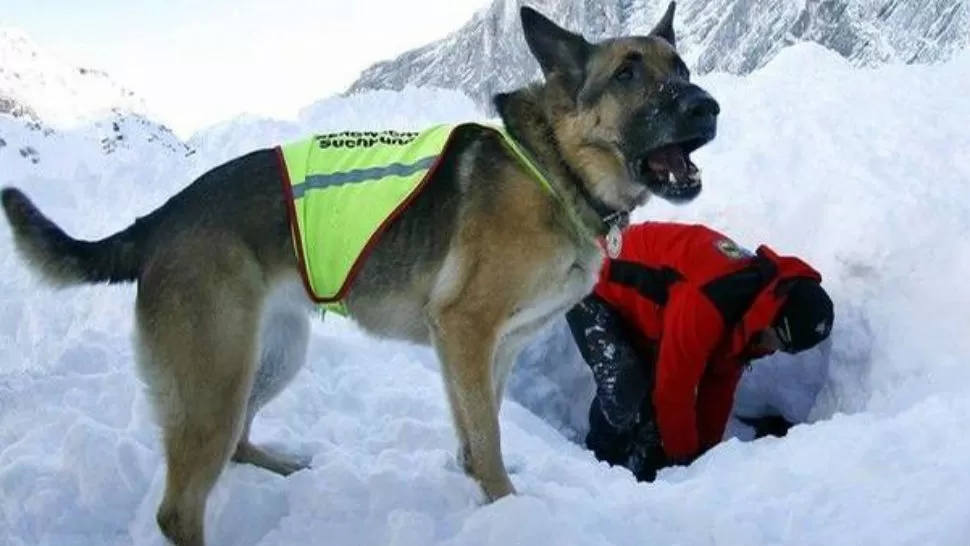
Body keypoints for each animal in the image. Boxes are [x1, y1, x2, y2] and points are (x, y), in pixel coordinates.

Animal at [0, 2, 712, 540]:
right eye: (627, 73)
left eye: (680, 67)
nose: (708, 106)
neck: (554, 167)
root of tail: (160, 219)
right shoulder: (465, 331)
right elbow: (487, 440)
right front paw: (511, 509)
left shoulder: (493, 350)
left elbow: (477, 433)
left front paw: (484, 495)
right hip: (216, 378)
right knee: (179, 508)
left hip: (271, 357)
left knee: (237, 446)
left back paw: (283, 466)